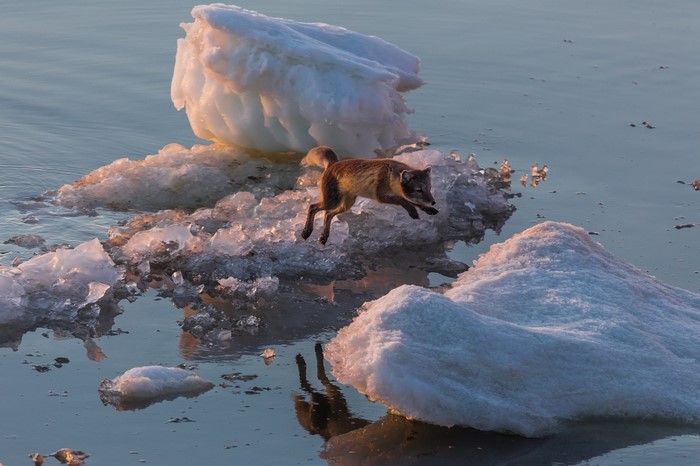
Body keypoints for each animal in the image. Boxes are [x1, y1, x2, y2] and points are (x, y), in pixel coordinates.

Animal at [300, 145, 439, 245]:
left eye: (430, 188)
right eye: (419, 190)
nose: (433, 202)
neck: (390, 176)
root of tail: (333, 164)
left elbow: (413, 202)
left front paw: (428, 209)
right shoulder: (381, 196)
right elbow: (404, 201)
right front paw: (413, 212)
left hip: (346, 205)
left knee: (328, 214)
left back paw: (324, 237)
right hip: (332, 201)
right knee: (312, 207)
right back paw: (306, 232)